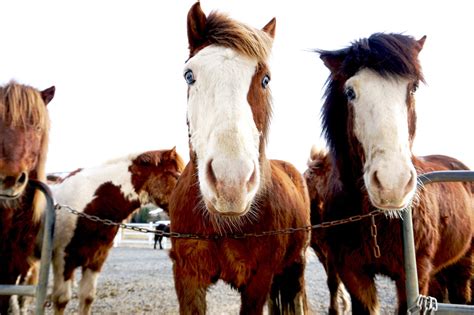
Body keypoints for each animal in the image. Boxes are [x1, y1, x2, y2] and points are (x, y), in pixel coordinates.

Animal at [169, 3, 312, 315]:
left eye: (265, 79)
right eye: (189, 75)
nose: (230, 183)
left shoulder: (259, 280)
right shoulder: (187, 277)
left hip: (295, 267)